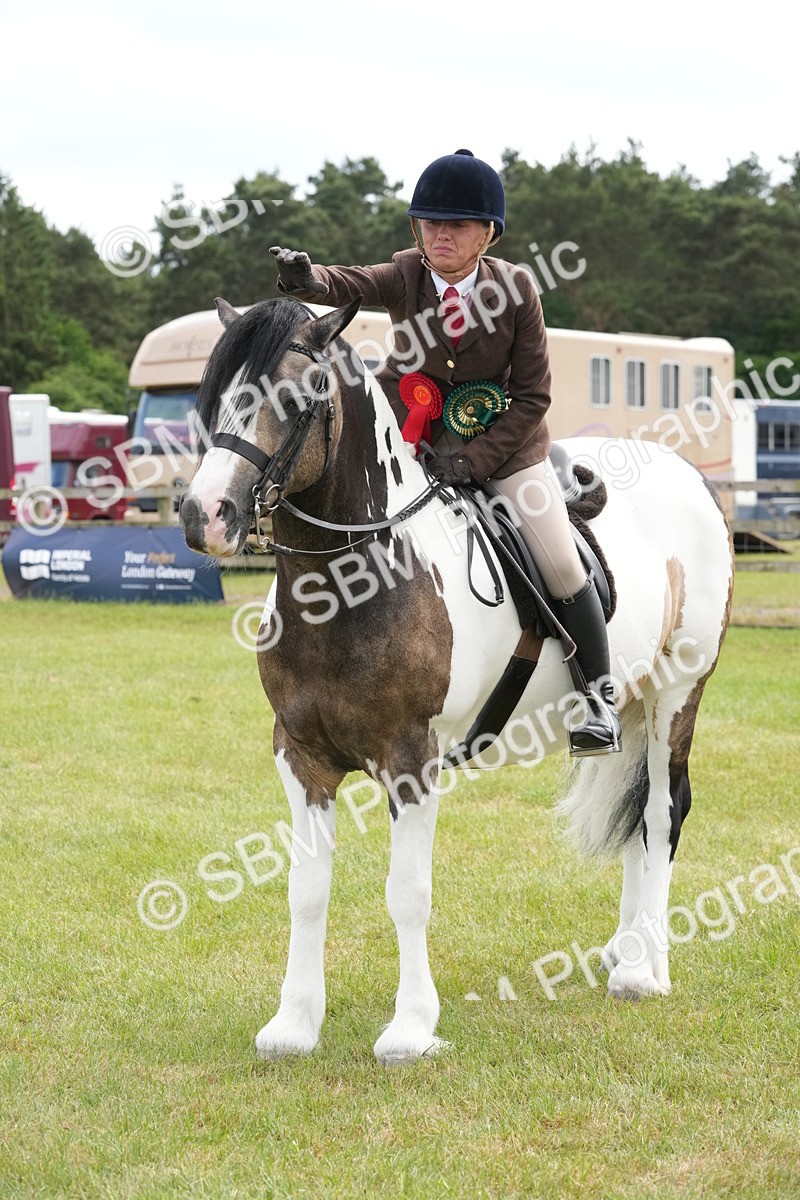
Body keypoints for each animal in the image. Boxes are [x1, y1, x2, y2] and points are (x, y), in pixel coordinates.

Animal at [179, 295, 734, 1065]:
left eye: (294, 399)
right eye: (212, 399)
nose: (205, 516)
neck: (349, 585)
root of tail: (688, 476)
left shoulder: (411, 759)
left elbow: (407, 892)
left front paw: (411, 1029)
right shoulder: (301, 755)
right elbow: (305, 889)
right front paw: (293, 1024)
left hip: (677, 696)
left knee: (659, 814)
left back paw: (644, 973)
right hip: (631, 703)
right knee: (636, 824)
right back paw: (623, 953)